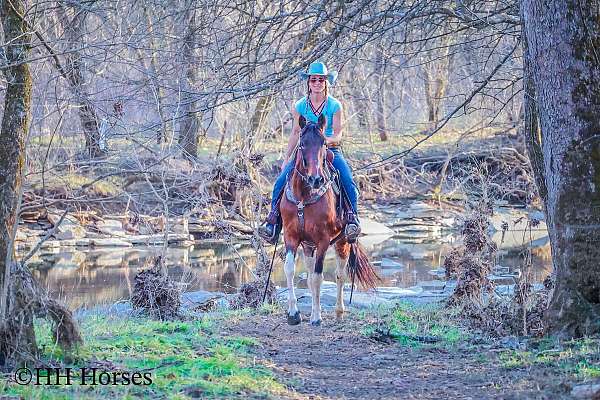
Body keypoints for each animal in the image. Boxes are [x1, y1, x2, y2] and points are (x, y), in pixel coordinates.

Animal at [278, 114, 378, 326]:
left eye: (324, 143)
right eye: (302, 144)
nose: (316, 179)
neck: (303, 196)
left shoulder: (323, 240)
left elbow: (319, 277)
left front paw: (316, 317)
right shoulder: (291, 237)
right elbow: (291, 270)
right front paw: (293, 314)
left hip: (342, 243)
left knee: (340, 275)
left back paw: (339, 312)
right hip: (308, 246)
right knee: (309, 277)